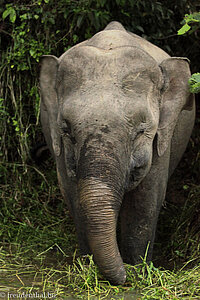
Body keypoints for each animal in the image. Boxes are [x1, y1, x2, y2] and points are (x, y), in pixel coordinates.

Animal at [39, 21, 195, 286]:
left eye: (141, 130)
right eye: (66, 131)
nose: (122, 276)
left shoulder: (161, 141)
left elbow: (146, 200)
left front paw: (137, 270)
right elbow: (73, 195)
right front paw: (89, 267)